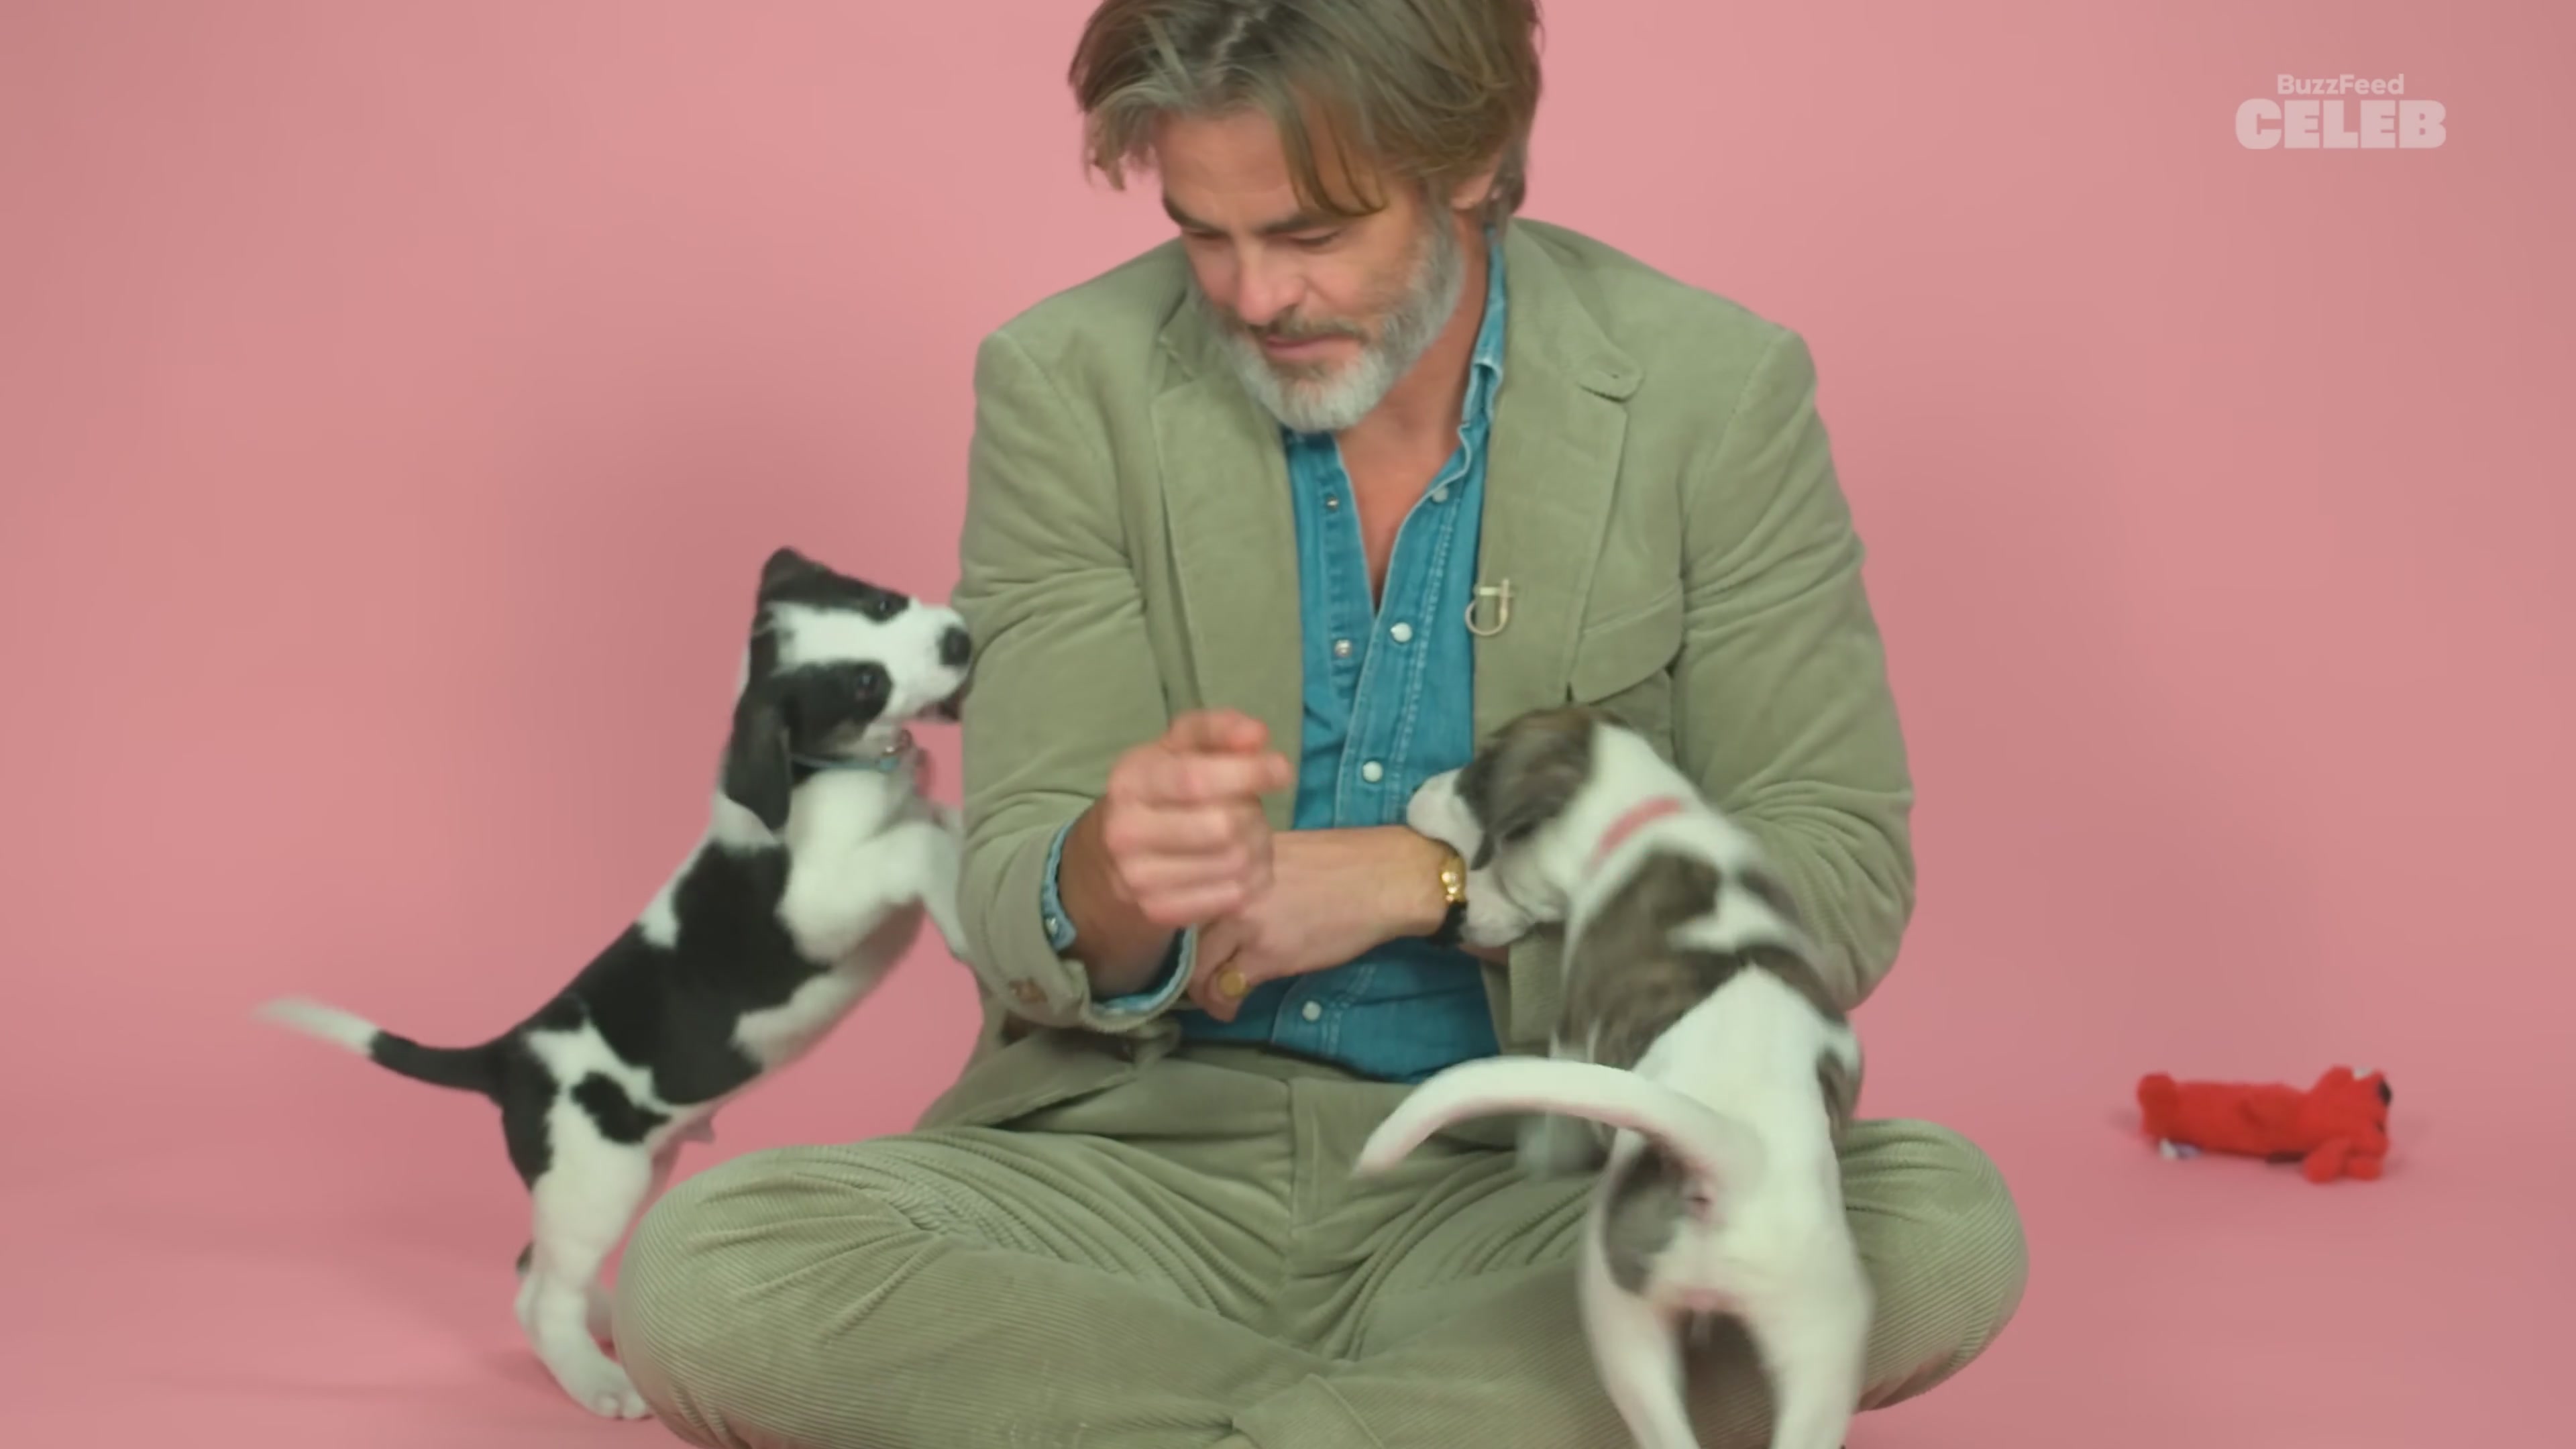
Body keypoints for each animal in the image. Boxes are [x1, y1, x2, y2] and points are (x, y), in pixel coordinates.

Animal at [257, 545, 973, 1419]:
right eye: (865, 682)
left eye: (881, 603)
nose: (958, 643)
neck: (825, 768)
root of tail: (508, 1054)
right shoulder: (817, 900)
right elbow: (912, 844)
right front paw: (960, 905)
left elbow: (934, 821)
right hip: (597, 1182)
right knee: (539, 1301)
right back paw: (595, 1379)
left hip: (627, 1168)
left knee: (532, 1267)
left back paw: (604, 1315)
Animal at [1354, 705, 1871, 1449]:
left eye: (1476, 779)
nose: (1417, 790)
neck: (1646, 815)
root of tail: (1735, 1154)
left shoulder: (1572, 1037)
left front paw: (1541, 1159)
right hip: (1821, 1340)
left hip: (1622, 1318)